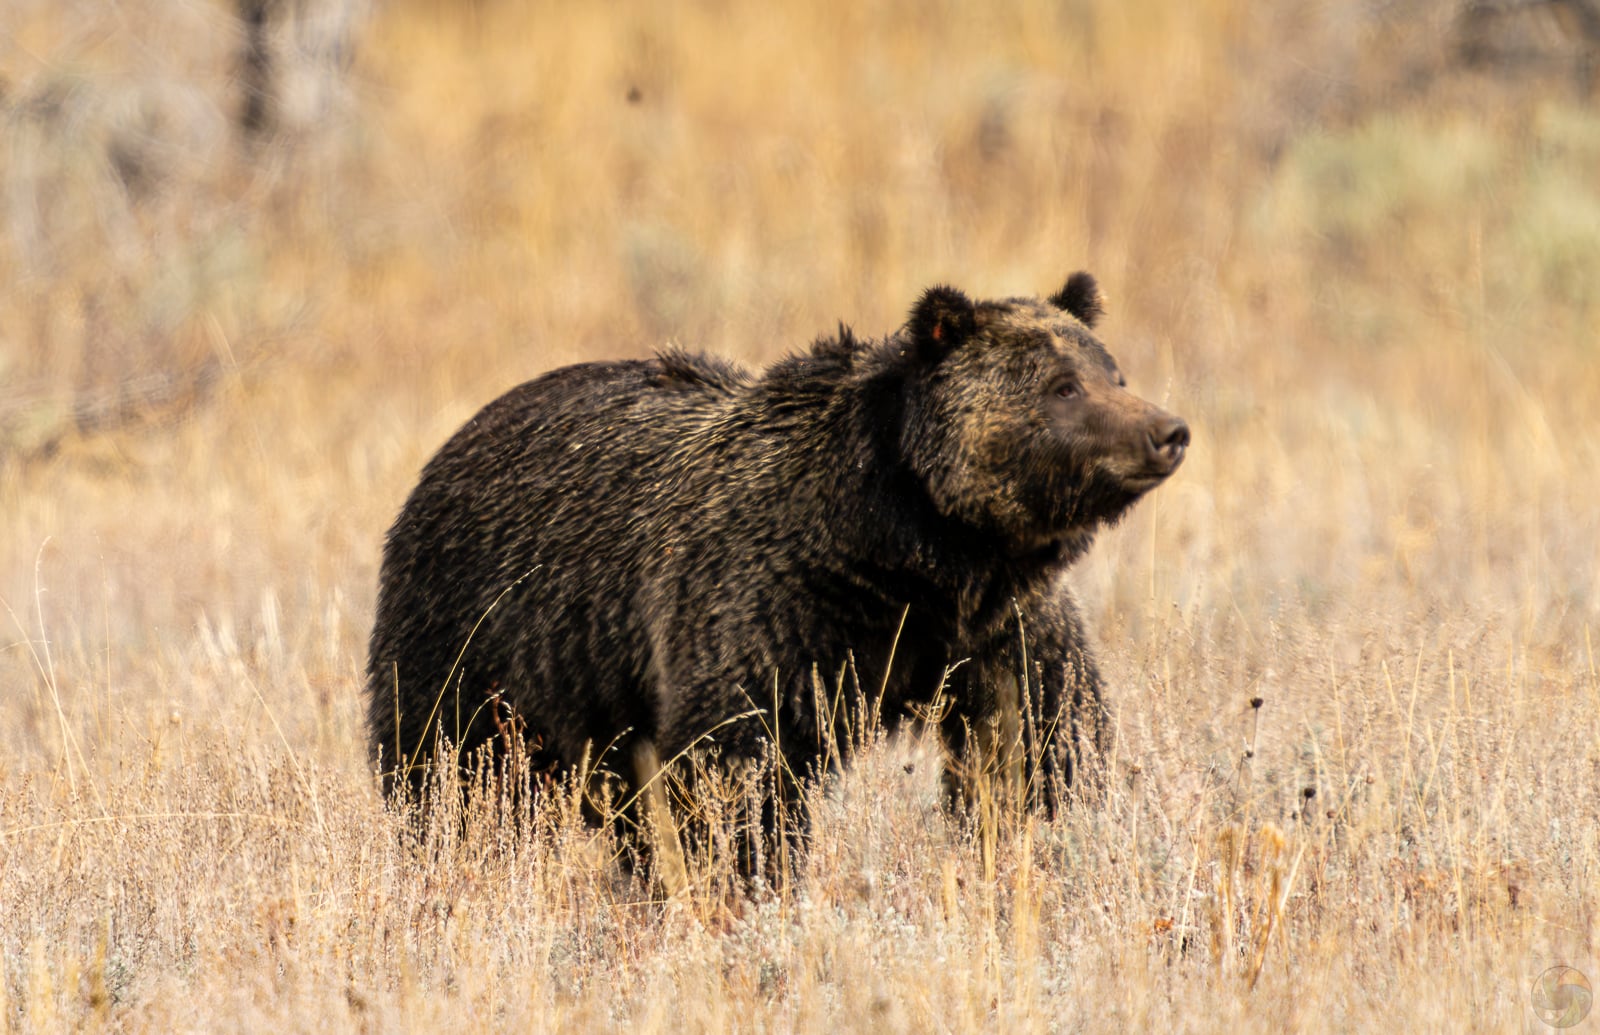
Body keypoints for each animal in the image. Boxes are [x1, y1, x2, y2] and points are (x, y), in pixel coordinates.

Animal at [365, 272, 1188, 867]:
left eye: (1111, 370)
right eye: (1061, 386)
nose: (1167, 429)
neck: (911, 544)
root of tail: (456, 440)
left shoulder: (994, 624)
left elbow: (1041, 735)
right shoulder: (768, 604)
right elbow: (741, 762)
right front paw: (751, 871)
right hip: (480, 637)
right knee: (450, 769)